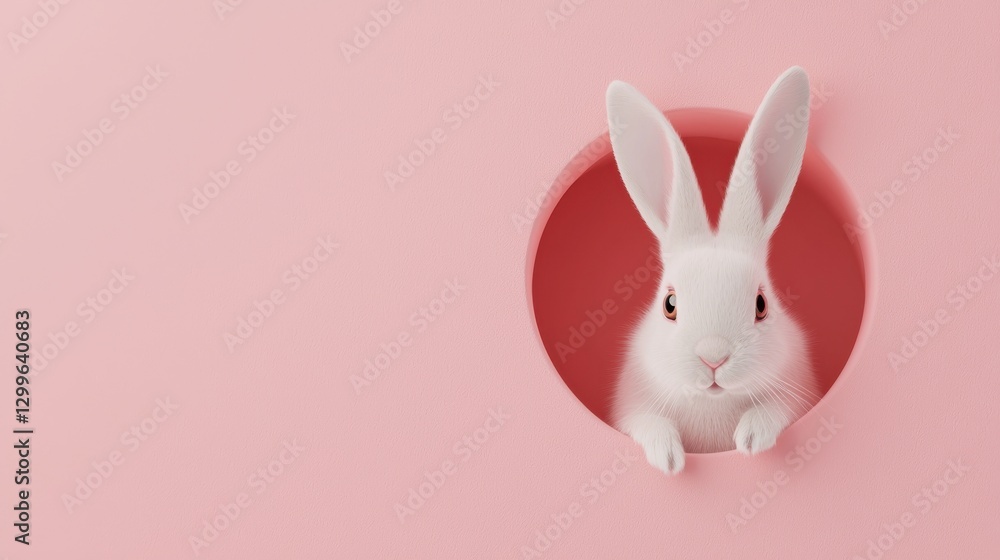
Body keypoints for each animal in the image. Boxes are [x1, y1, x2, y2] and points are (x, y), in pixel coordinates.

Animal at [606, 67, 819, 475]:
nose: (713, 358)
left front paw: (751, 438)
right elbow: (648, 422)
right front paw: (669, 458)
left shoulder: (798, 397)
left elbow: (774, 410)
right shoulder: (631, 409)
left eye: (761, 305)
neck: (713, 402)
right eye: (670, 305)